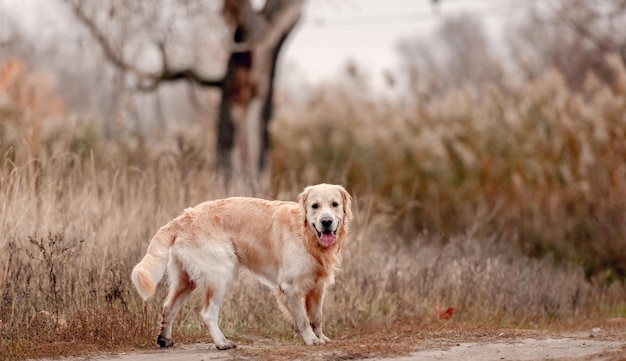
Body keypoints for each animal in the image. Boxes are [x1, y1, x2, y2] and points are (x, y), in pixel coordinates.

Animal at [130, 183, 352, 348]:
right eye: (315, 206)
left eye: (334, 204)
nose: (326, 222)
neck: (307, 236)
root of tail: (181, 218)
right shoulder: (289, 288)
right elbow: (304, 319)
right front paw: (311, 340)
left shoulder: (318, 286)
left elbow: (316, 317)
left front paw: (321, 338)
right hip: (220, 274)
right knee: (208, 313)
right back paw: (222, 343)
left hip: (186, 280)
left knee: (168, 307)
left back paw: (165, 339)